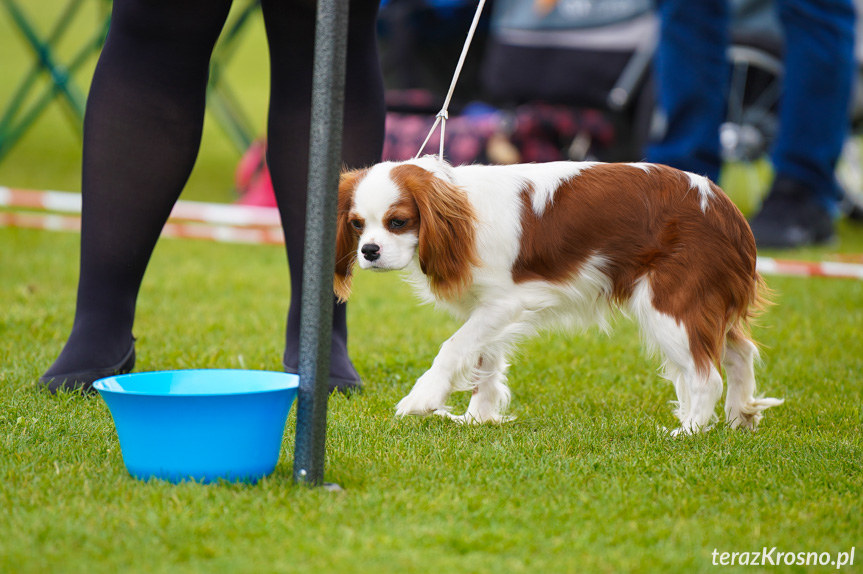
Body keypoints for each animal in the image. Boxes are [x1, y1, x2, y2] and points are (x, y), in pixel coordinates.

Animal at [332, 158, 784, 436]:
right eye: (356, 225)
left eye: (398, 222)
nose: (369, 251)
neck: (463, 214)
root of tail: (728, 209)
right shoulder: (488, 309)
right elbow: (483, 364)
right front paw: (478, 419)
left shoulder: (502, 303)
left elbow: (454, 347)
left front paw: (423, 398)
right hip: (703, 304)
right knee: (739, 353)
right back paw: (739, 416)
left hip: (671, 306)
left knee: (706, 376)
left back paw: (689, 431)